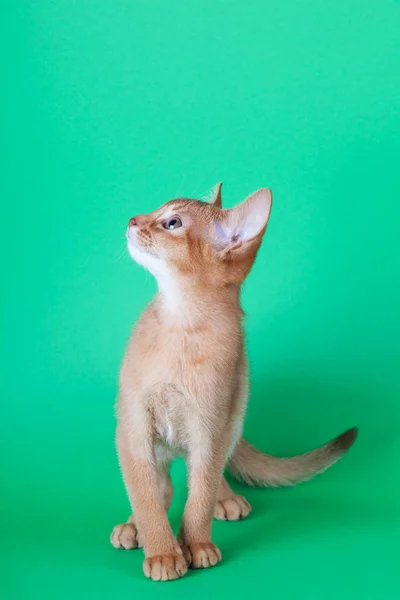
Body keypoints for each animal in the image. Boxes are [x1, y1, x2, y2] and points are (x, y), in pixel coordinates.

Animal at [109, 184, 356, 580]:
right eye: (156, 211)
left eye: (172, 222)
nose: (133, 220)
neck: (182, 324)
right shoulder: (133, 425)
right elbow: (146, 495)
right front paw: (162, 551)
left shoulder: (210, 427)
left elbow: (200, 493)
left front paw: (196, 545)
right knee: (160, 487)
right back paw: (133, 527)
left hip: (236, 410)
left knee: (204, 478)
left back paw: (225, 500)